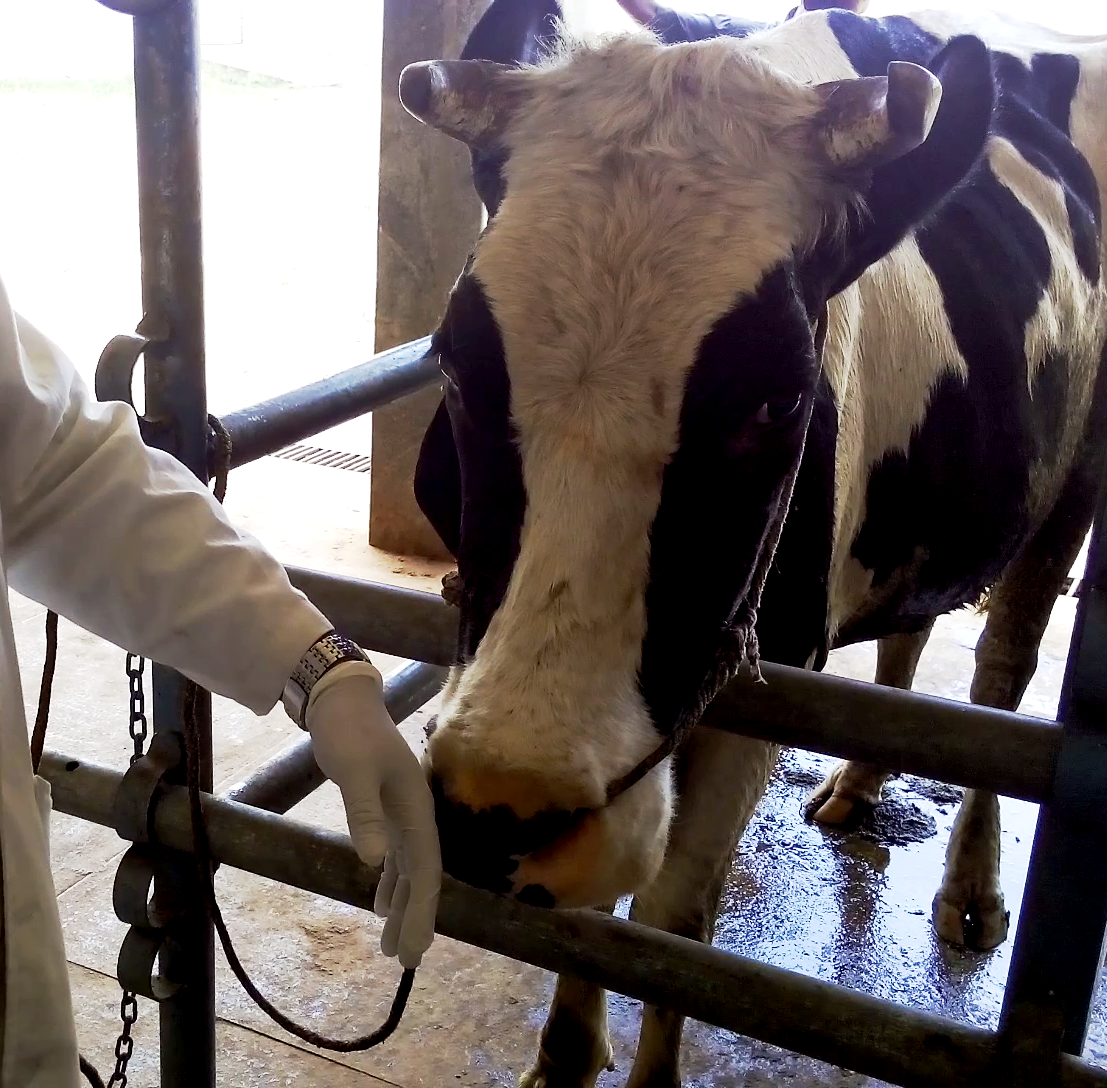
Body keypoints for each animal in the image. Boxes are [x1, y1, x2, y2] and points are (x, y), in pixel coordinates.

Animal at [402, 1, 1107, 1083]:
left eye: (777, 397)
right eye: (453, 361)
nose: (496, 805)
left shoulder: (767, 672)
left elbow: (673, 920)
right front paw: (563, 1052)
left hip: (1076, 478)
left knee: (1003, 666)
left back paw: (972, 888)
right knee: (911, 632)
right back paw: (858, 785)